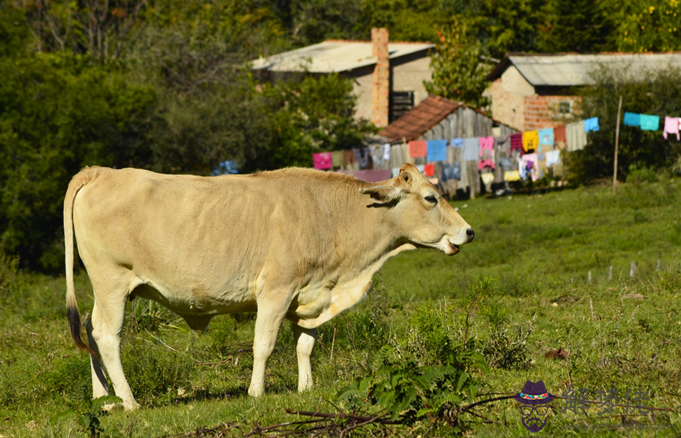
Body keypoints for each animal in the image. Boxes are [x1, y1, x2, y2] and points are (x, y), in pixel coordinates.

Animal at [63, 163, 472, 408]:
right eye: (431, 197)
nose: (468, 232)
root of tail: (100, 172)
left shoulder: (309, 294)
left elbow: (305, 345)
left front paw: (306, 388)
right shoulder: (276, 291)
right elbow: (264, 345)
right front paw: (256, 391)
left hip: (106, 288)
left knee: (90, 328)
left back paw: (103, 395)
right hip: (112, 281)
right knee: (106, 336)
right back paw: (128, 401)